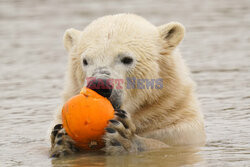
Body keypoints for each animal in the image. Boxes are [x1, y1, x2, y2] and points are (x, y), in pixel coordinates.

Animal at [48, 13, 205, 157]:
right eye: (85, 61)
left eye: (127, 59)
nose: (99, 85)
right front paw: (62, 139)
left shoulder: (177, 125)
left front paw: (125, 139)